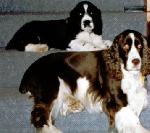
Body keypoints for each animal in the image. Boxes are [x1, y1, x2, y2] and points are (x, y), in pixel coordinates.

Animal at [19, 29, 150, 132]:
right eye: (125, 47)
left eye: (139, 46)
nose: (136, 61)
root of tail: (27, 73)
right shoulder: (118, 102)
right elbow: (133, 122)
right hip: (51, 86)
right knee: (40, 116)